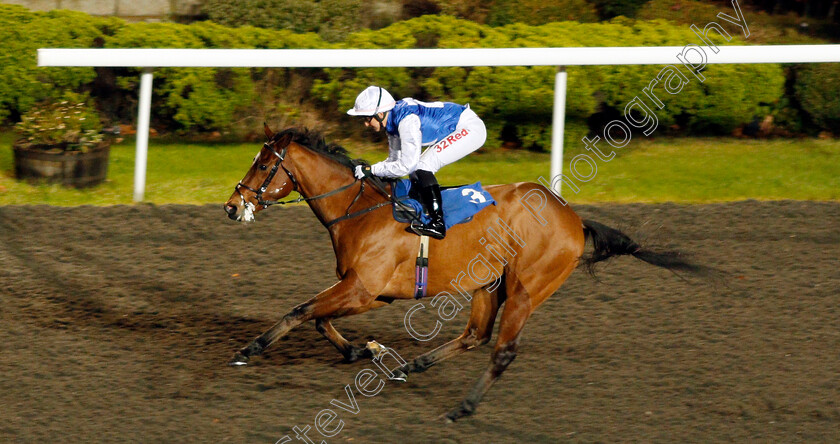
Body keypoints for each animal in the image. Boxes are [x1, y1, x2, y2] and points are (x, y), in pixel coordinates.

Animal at [225, 125, 708, 420]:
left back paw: (462, 407)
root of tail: (575, 219)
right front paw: (364, 351)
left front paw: (248, 349)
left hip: (526, 289)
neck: (361, 210)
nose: (232, 205)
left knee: (502, 350)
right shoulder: (366, 291)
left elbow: (301, 311)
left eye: (263, 165)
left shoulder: (364, 288)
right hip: (488, 283)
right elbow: (319, 319)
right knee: (475, 335)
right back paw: (412, 365)